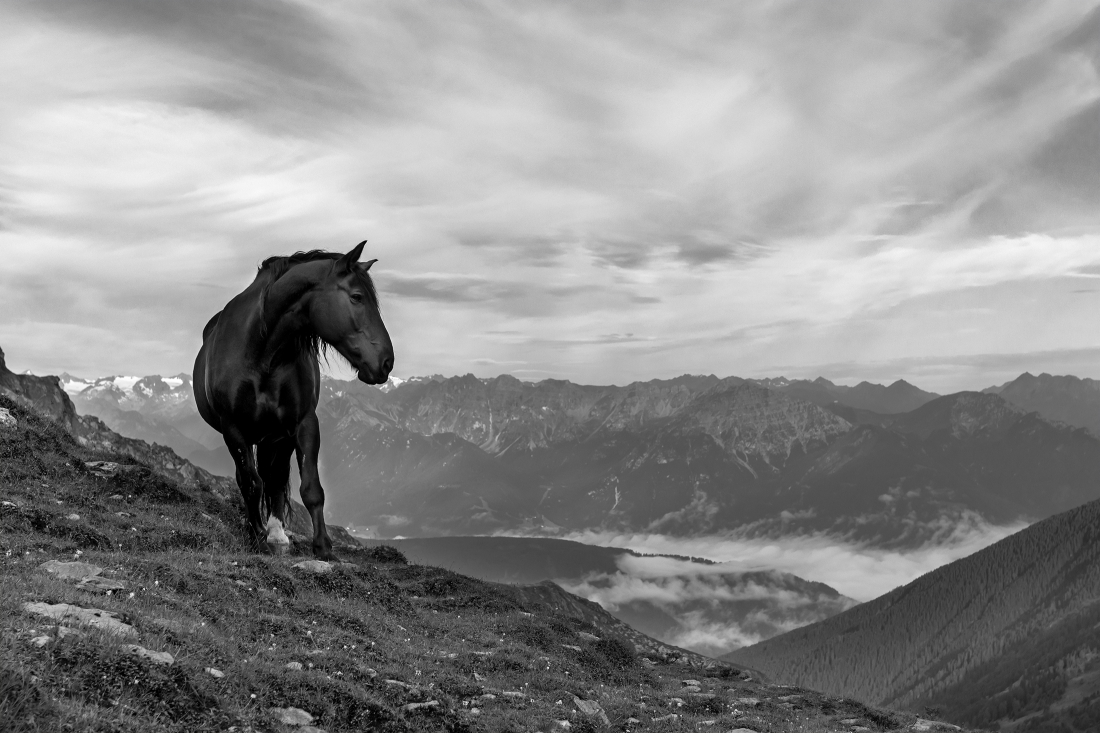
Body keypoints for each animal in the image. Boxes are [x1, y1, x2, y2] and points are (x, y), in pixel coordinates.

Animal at [193, 242, 393, 559]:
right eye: (357, 297)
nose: (387, 361)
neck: (262, 352)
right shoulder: (234, 429)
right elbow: (250, 483)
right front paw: (256, 537)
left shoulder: (303, 423)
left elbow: (310, 488)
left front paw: (322, 546)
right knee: (252, 478)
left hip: (276, 438)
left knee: (275, 478)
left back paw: (276, 533)